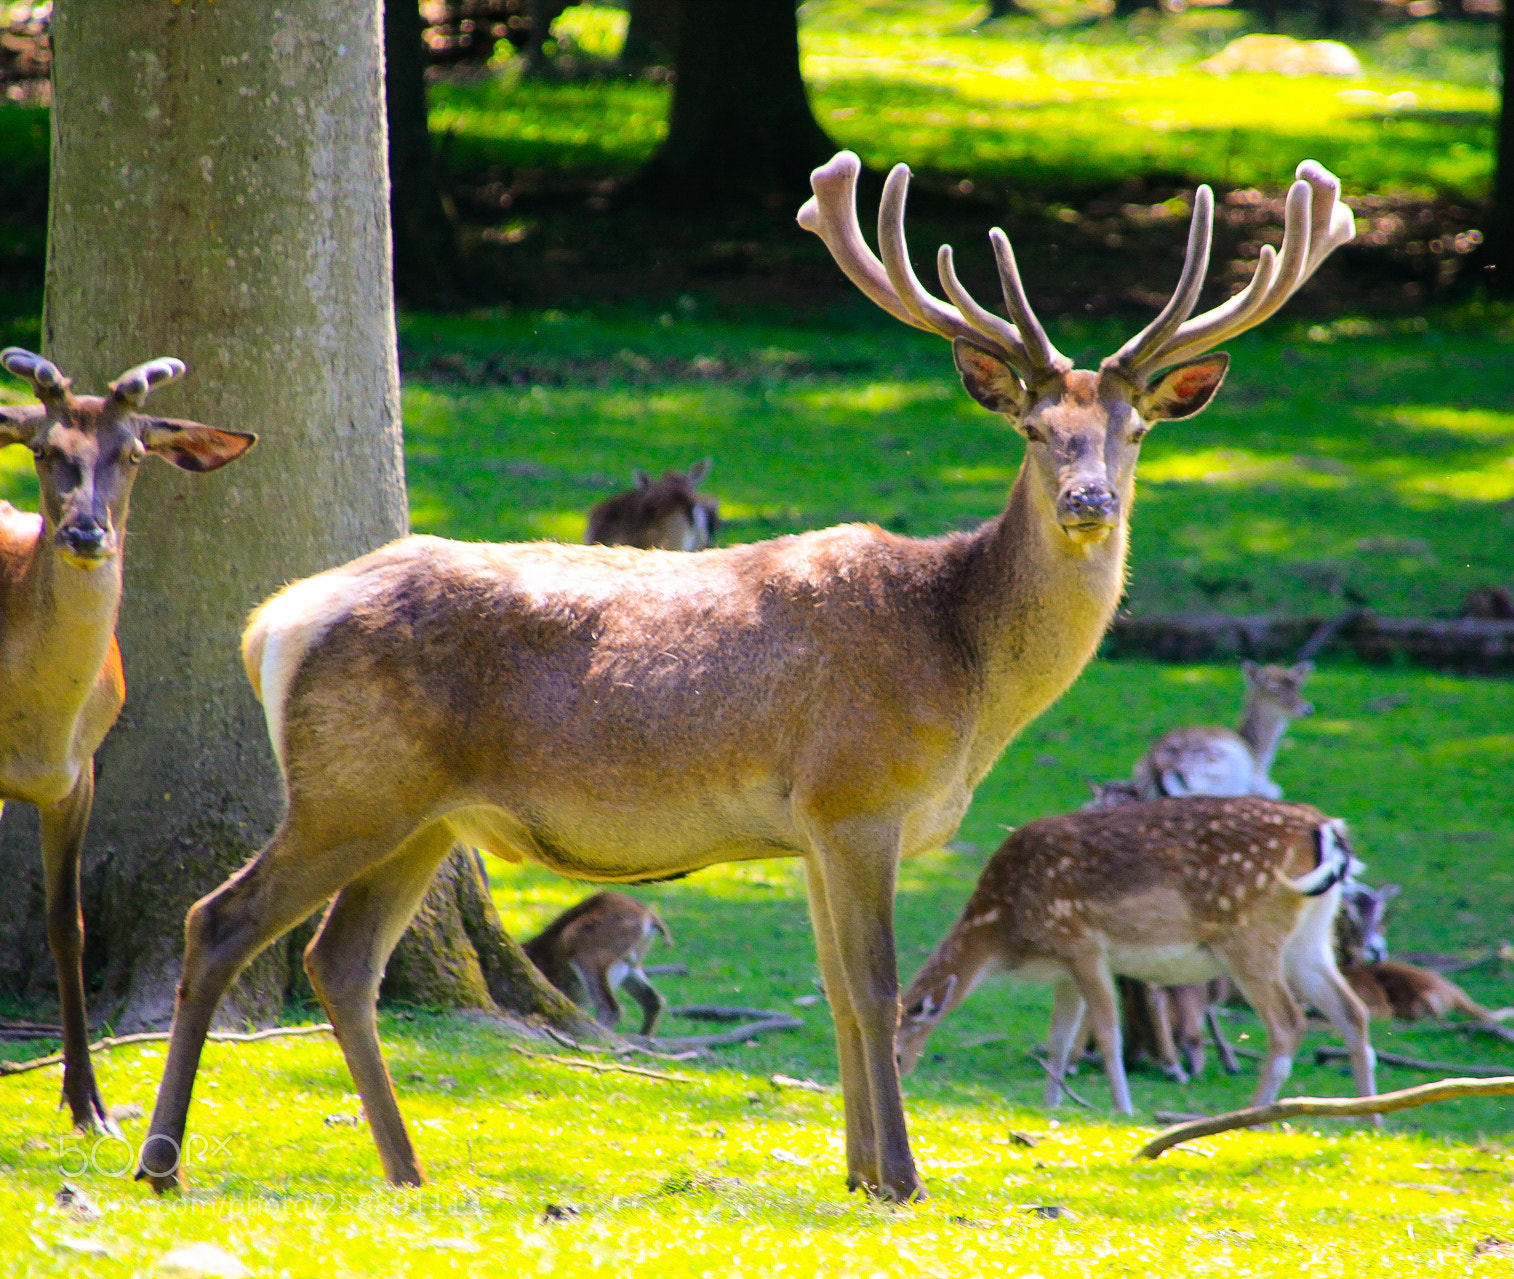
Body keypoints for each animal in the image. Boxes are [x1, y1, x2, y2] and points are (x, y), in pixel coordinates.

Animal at [0, 348, 254, 1135]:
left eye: (134, 453)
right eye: (44, 449)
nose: (87, 533)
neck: (34, 724)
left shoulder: (79, 775)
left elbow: (68, 925)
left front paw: (89, 1103)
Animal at [896, 796, 1377, 1115]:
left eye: (898, 1051)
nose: (900, 1080)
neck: (1002, 931)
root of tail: (1328, 829)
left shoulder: (1082, 942)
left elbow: (1108, 1032)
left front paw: (1121, 1107)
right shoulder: (1063, 967)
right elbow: (1059, 1037)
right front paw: (1051, 1105)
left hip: (1250, 934)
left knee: (1289, 1020)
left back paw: (1253, 1116)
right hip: (1311, 934)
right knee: (1352, 1011)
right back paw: (1368, 1116)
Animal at [1133, 661, 1314, 801]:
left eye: (1299, 686)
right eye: (1274, 690)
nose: (1308, 709)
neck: (1259, 755)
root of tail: (1159, 769)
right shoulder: (1257, 777)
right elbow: (1275, 789)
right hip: (1223, 762)